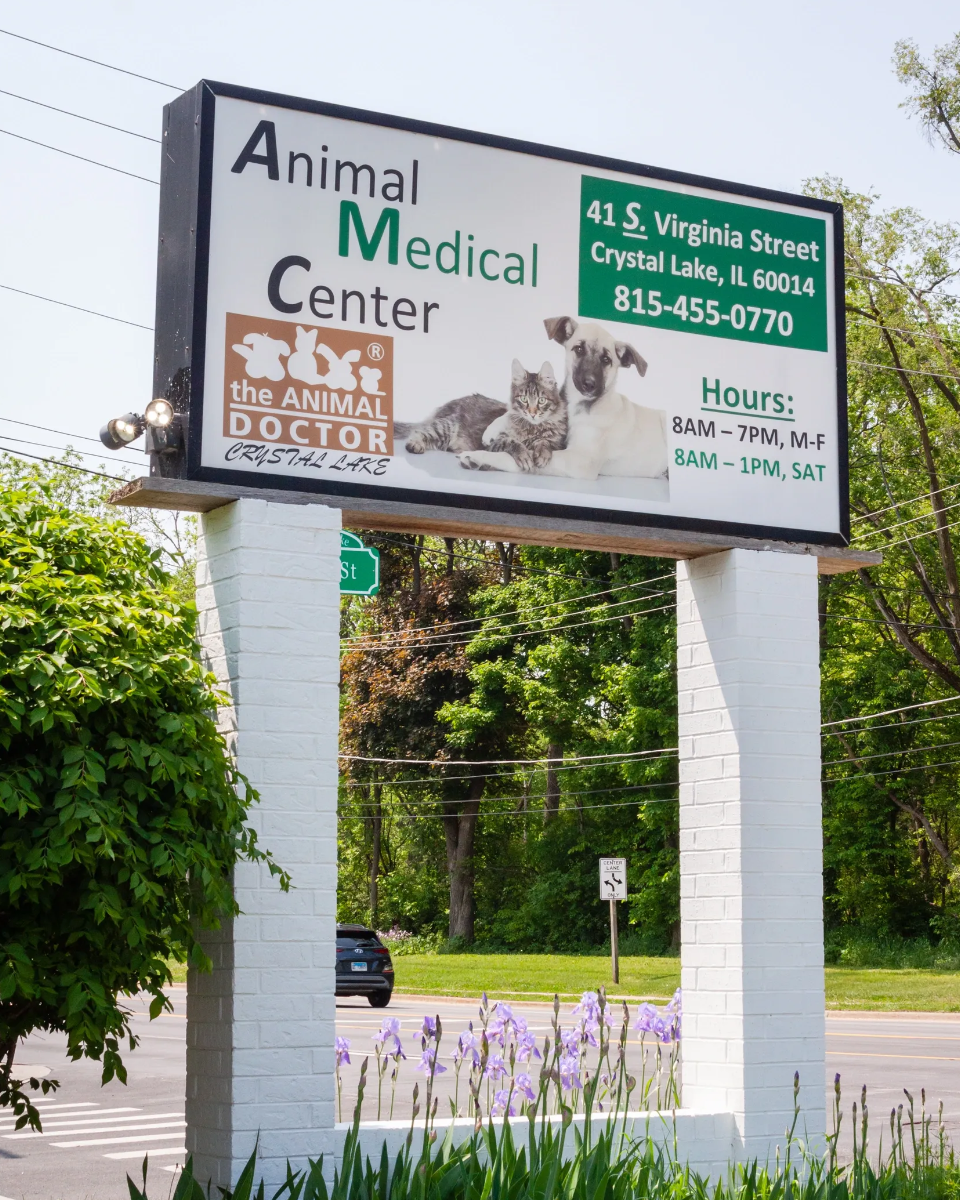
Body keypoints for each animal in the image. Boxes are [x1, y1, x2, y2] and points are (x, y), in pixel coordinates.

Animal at [458, 321, 667, 484]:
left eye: (606, 359)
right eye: (579, 349)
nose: (589, 384)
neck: (577, 407)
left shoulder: (579, 460)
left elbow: (512, 457)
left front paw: (480, 457)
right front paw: (492, 428)